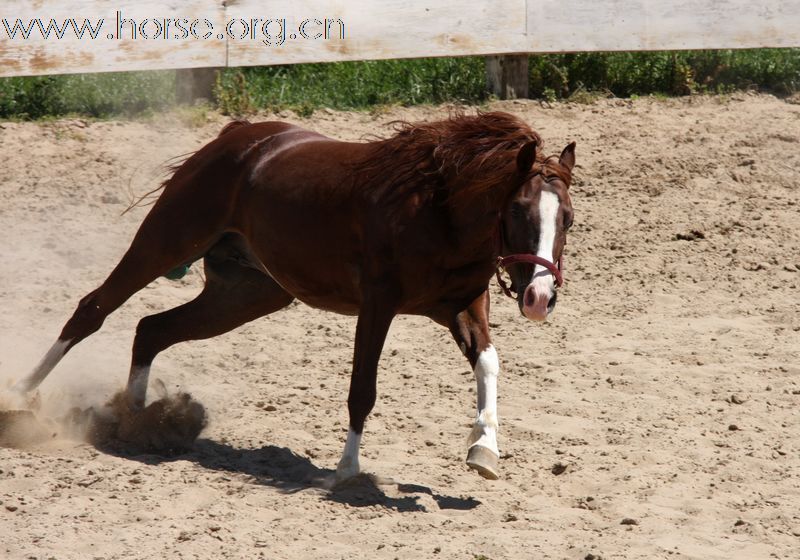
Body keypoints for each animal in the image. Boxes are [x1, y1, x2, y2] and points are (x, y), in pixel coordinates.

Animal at [14, 112, 576, 482]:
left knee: (152, 330)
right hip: (165, 241)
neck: (437, 210)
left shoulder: (463, 304)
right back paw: (20, 399)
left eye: (567, 218)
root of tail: (240, 136)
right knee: (92, 311)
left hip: (245, 294)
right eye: (519, 211)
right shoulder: (378, 305)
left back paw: (134, 423)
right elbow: (362, 387)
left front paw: (484, 450)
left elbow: (488, 364)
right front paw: (347, 468)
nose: (538, 297)